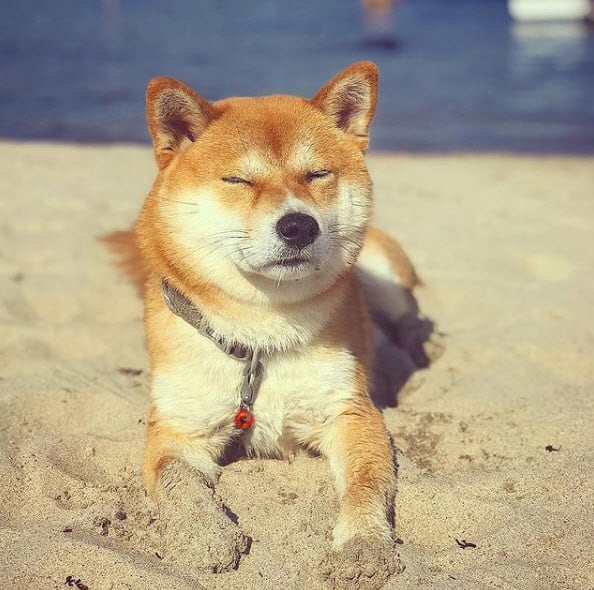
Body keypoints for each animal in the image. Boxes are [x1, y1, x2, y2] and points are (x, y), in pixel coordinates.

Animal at [107, 62, 440, 588]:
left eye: (317, 174)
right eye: (238, 180)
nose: (299, 225)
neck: (259, 333)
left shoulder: (349, 413)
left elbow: (366, 484)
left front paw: (363, 545)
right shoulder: (178, 429)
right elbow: (178, 483)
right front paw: (204, 536)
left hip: (379, 269)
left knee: (407, 313)